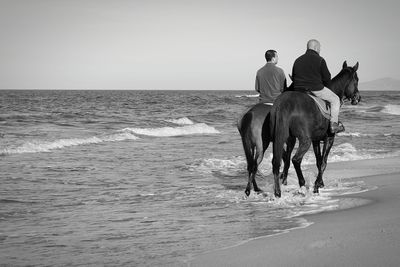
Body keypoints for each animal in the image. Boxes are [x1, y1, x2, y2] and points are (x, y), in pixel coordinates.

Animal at [270, 61, 360, 198]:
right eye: (357, 80)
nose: (358, 98)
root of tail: (283, 104)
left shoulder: (316, 140)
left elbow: (318, 161)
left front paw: (320, 183)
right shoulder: (329, 138)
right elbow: (323, 162)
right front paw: (317, 186)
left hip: (284, 138)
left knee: (279, 160)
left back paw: (278, 191)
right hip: (304, 140)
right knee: (296, 159)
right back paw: (302, 185)